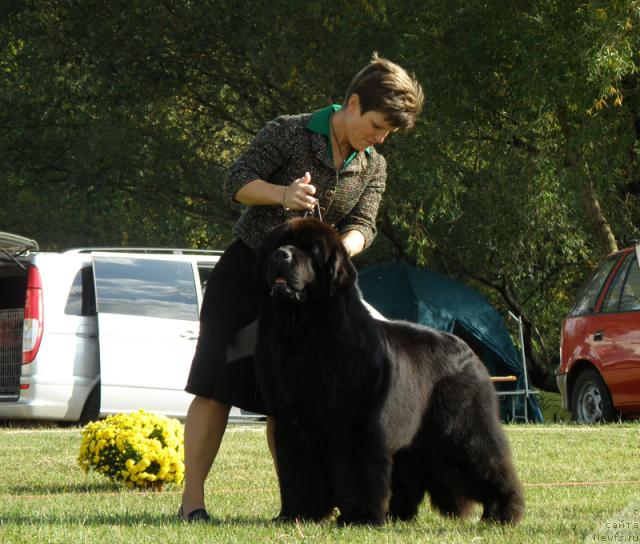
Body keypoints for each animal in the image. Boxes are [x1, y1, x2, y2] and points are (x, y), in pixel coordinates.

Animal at [255, 218, 524, 528]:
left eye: (310, 250)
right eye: (279, 244)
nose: (282, 255)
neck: (306, 330)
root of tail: (468, 349)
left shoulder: (356, 425)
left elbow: (356, 472)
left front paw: (359, 517)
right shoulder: (294, 425)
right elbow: (299, 472)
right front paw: (300, 513)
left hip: (462, 430)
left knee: (486, 460)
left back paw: (503, 512)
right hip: (416, 443)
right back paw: (398, 514)